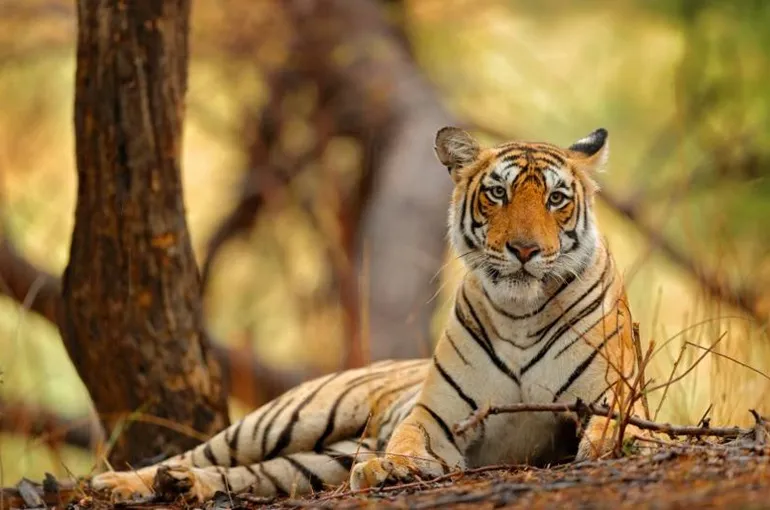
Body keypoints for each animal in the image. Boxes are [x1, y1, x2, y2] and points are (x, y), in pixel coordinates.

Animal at [91, 126, 643, 502]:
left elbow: (616, 428)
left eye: (556, 199)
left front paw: (608, 448)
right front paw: (390, 467)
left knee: (247, 475)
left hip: (314, 462)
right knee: (202, 453)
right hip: (284, 419)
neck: (519, 314)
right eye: (498, 193)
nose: (525, 250)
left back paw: (181, 486)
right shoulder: (438, 415)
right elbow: (408, 440)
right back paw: (119, 482)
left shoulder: (610, 396)